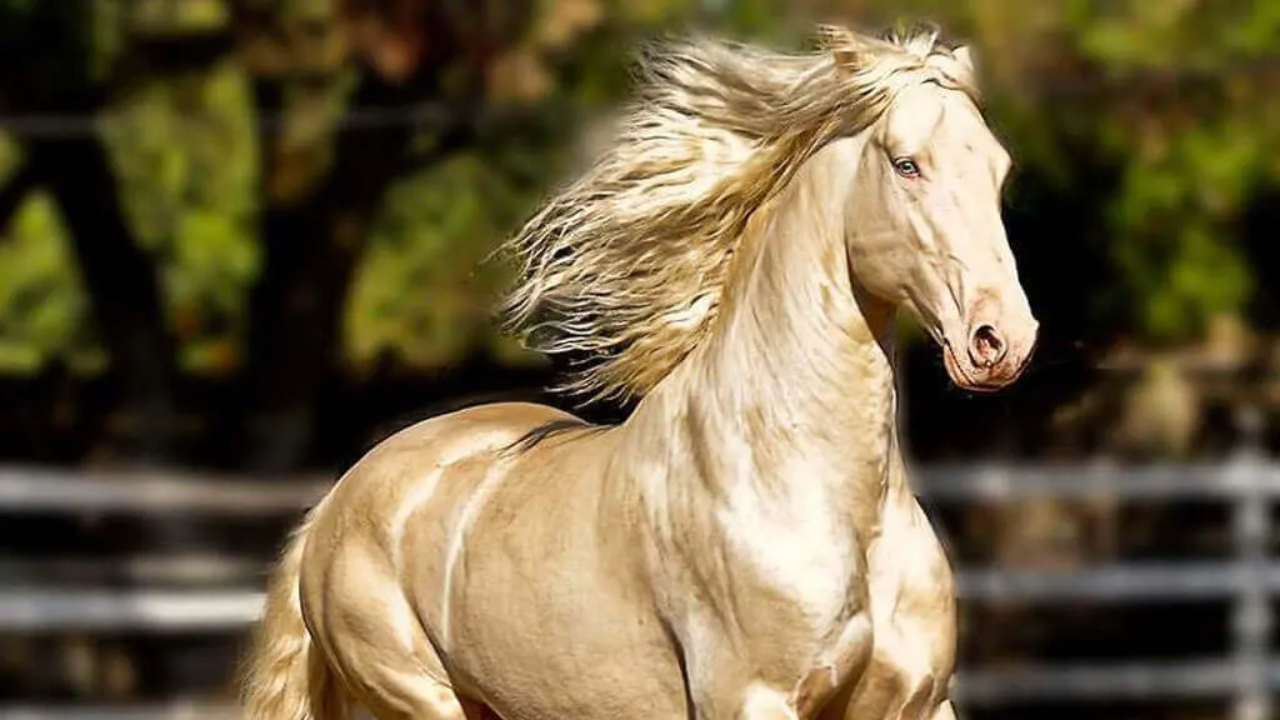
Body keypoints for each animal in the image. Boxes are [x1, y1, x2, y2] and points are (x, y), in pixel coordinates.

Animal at [241, 22, 1038, 720]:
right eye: (907, 163)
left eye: (998, 167)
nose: (1000, 339)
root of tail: (334, 504)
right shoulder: (751, 699)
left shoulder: (919, 702)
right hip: (421, 699)